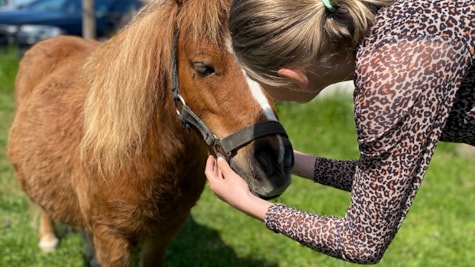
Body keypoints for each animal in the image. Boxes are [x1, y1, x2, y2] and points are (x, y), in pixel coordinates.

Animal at [6, 0, 294, 267]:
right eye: (202, 67)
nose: (275, 163)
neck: (137, 158)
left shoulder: (164, 232)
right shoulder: (113, 240)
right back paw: (48, 239)